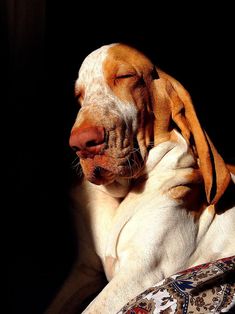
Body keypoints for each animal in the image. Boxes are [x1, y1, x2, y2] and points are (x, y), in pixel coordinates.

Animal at [46, 43, 235, 312]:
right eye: (79, 95)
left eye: (125, 76)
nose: (82, 143)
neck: (121, 196)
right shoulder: (86, 271)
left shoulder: (140, 272)